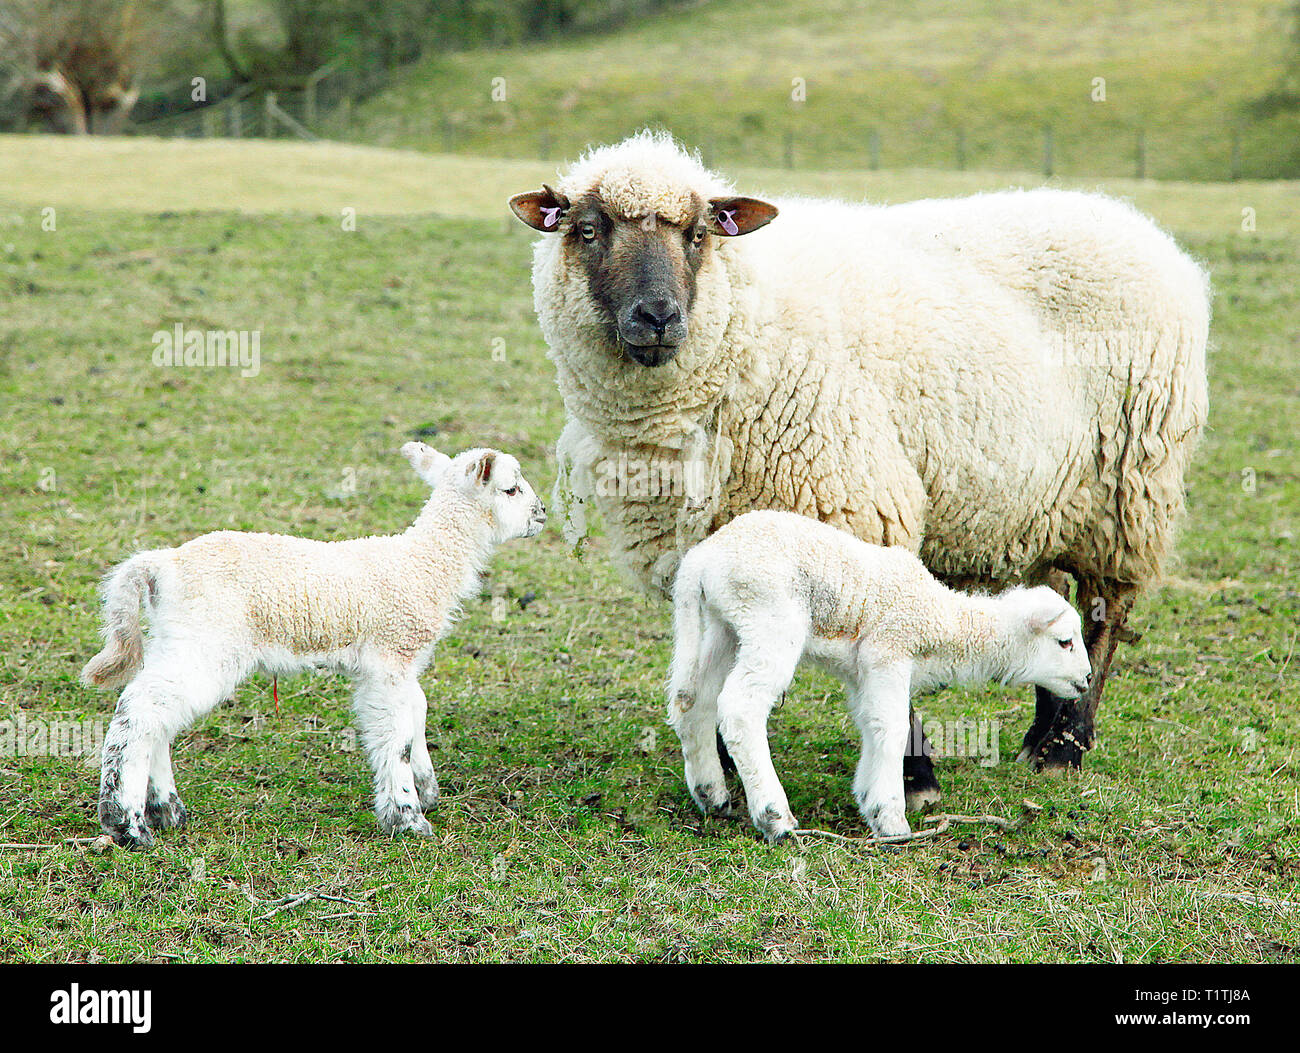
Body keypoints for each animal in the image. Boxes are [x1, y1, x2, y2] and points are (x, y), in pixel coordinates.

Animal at [79, 441, 548, 847]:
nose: (543, 513)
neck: (425, 563)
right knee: (140, 710)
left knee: (154, 712)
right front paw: (407, 817)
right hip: (207, 639)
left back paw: (166, 810)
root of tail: (162, 564)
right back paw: (127, 823)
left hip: (176, 636)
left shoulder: (400, 660)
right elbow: (395, 734)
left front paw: (426, 787)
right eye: (511, 488)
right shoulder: (390, 655)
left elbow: (419, 711)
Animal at [665, 506, 1092, 837]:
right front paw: (891, 820)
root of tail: (701, 561)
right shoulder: (889, 650)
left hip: (724, 625)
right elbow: (893, 727)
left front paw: (870, 800)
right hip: (769, 616)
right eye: (1065, 642)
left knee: (693, 700)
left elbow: (872, 725)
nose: (1087, 680)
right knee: (740, 707)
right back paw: (774, 816)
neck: (939, 618)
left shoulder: (863, 670)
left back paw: (711, 795)